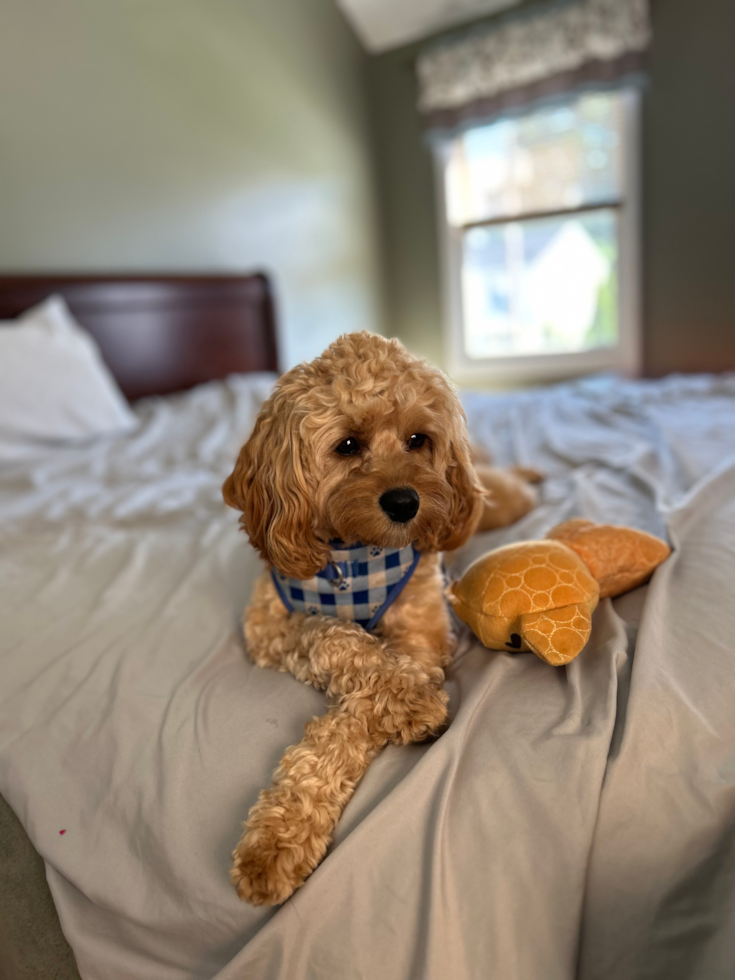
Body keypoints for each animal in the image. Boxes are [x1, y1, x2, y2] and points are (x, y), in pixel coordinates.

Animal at [221, 334, 536, 908]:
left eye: (418, 439)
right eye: (347, 445)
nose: (406, 503)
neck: (353, 557)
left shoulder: (421, 636)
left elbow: (353, 717)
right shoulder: (268, 627)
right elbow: (333, 638)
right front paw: (279, 837)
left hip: (493, 503)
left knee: (513, 485)